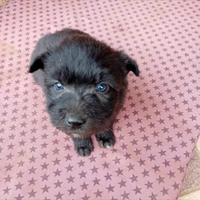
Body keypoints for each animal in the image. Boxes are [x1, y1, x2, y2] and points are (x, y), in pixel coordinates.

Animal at [29, 28, 139, 156]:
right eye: (58, 86)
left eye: (102, 87)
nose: (75, 122)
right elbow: (76, 134)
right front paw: (82, 144)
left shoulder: (114, 109)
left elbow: (106, 123)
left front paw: (105, 136)